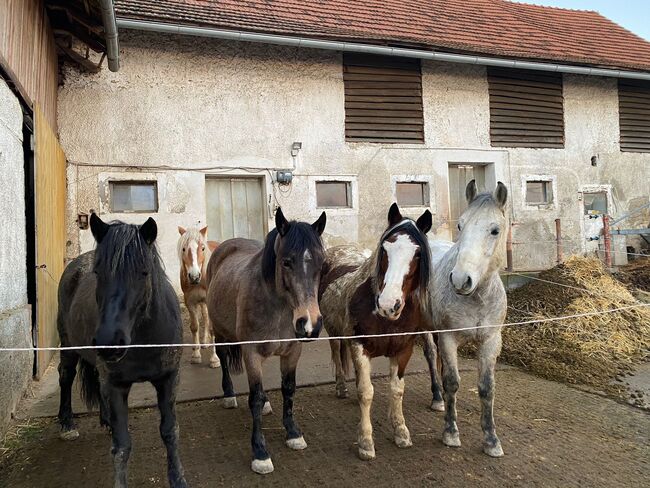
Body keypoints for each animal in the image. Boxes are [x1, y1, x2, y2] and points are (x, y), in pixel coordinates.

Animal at [55, 215, 187, 488]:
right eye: (98, 272)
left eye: (144, 272)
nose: (109, 342)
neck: (144, 341)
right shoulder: (117, 386)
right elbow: (122, 446)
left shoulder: (169, 380)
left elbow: (170, 431)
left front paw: (178, 479)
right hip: (69, 347)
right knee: (66, 376)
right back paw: (67, 424)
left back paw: (104, 419)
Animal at [177, 225, 220, 366]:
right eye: (184, 249)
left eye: (202, 248)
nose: (194, 276)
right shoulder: (190, 302)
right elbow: (194, 327)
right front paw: (196, 355)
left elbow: (212, 329)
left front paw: (215, 358)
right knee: (205, 317)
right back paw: (205, 342)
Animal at [206, 208, 326, 474]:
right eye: (286, 262)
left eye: (321, 262)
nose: (310, 324)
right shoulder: (251, 353)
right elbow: (254, 397)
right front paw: (260, 452)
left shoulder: (292, 352)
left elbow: (288, 389)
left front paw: (293, 433)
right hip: (219, 331)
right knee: (224, 358)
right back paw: (229, 395)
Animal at [318, 203, 430, 462]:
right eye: (386, 248)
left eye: (418, 254)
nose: (389, 304)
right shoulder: (360, 347)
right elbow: (366, 392)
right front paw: (366, 442)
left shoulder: (403, 350)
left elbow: (397, 390)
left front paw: (401, 431)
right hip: (333, 331)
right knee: (337, 353)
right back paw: (341, 387)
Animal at [428, 180, 508, 458]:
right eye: (461, 225)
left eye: (494, 230)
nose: (461, 280)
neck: (477, 299)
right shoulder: (448, 338)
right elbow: (452, 381)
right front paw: (451, 433)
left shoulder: (491, 341)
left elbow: (487, 388)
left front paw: (492, 440)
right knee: (432, 357)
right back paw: (437, 398)